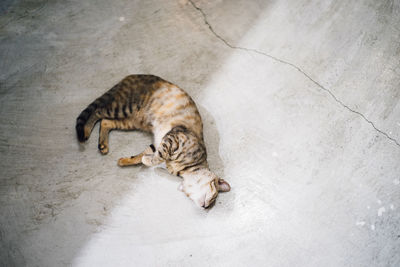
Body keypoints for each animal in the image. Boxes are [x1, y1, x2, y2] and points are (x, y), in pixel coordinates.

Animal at [76, 74, 230, 208]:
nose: (206, 207)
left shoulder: (160, 142)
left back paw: (103, 144)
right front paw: (148, 160)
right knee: (97, 112)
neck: (184, 170)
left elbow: (143, 155)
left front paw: (127, 160)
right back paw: (86, 131)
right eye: (214, 196)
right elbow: (158, 156)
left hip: (130, 121)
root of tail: (132, 75)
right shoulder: (174, 138)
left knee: (106, 122)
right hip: (123, 107)